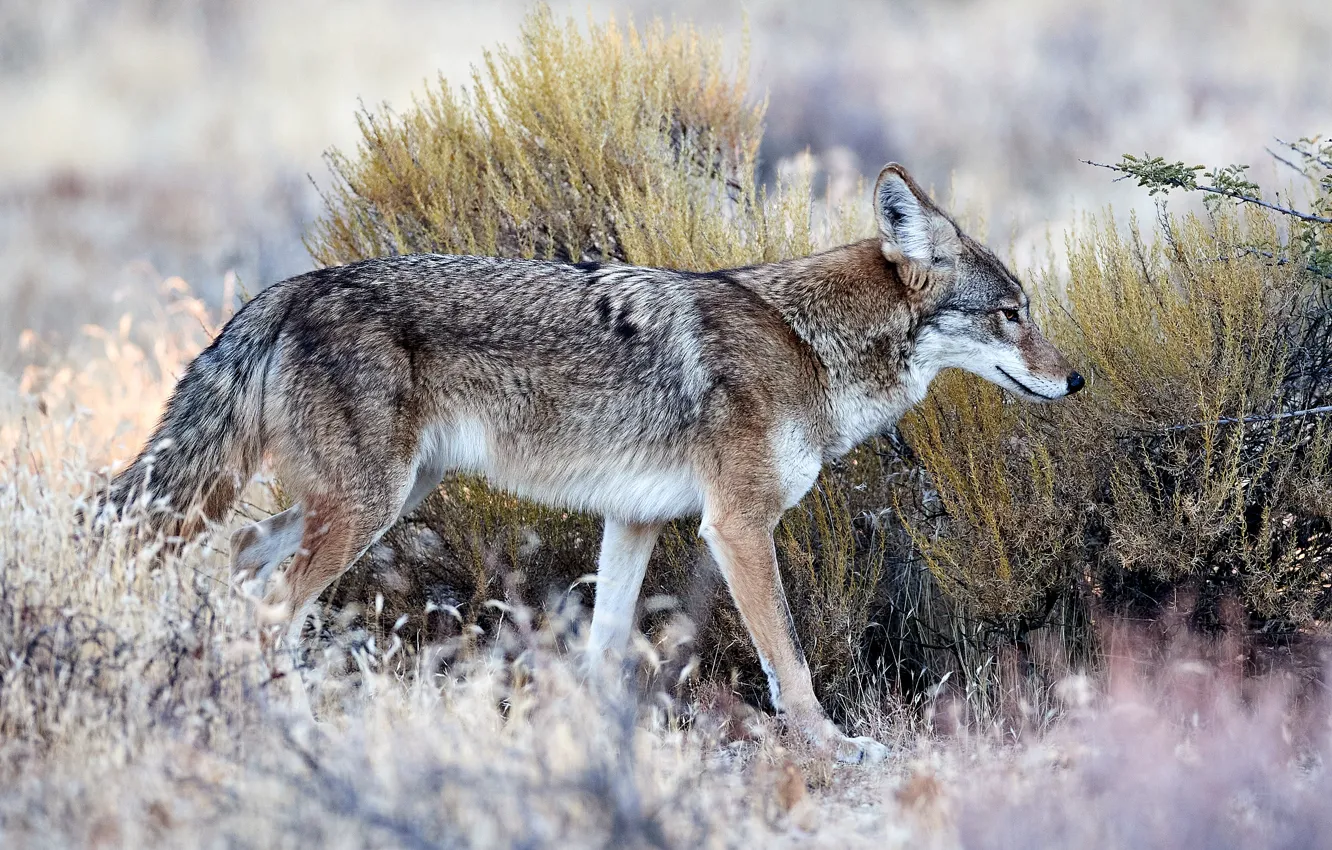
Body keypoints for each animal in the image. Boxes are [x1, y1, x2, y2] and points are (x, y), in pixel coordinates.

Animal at [98, 163, 1082, 763]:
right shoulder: (738, 526)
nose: (1076, 378)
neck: (810, 346)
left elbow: (607, 648)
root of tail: (287, 288)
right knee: (269, 607)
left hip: (371, 501)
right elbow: (791, 662)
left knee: (235, 563)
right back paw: (286, 723)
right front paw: (833, 747)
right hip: (365, 509)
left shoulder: (634, 518)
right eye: (1011, 313)